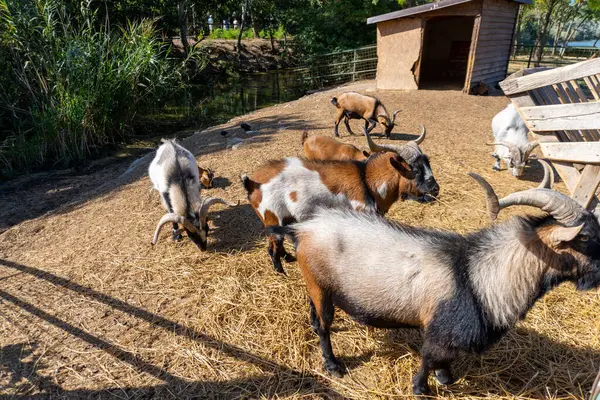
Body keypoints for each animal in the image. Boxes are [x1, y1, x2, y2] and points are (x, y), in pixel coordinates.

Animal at [241, 126, 438, 274]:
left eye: (428, 164)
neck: (367, 180)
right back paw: (281, 272)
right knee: (272, 249)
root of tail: (252, 183)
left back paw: (289, 258)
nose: (436, 189)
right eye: (415, 170)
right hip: (273, 216)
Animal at [270, 162, 600, 396]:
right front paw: (422, 388)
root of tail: (303, 229)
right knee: (324, 327)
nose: (598, 276)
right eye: (585, 238)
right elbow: (429, 357)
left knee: (315, 317)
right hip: (320, 285)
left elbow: (444, 360)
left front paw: (446, 378)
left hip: (315, 285)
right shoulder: (440, 329)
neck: (478, 275)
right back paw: (333, 366)